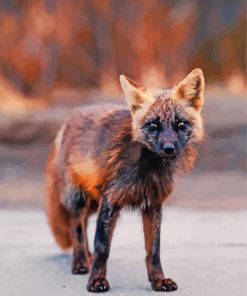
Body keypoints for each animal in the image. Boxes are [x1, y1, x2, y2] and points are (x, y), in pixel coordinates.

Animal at [45, 68, 206, 292]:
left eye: (180, 124)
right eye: (154, 125)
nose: (168, 149)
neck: (147, 168)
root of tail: (71, 116)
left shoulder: (153, 205)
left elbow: (153, 250)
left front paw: (158, 280)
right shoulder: (110, 200)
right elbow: (102, 246)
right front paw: (96, 281)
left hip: (92, 201)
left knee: (83, 227)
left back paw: (86, 257)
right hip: (80, 198)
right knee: (76, 228)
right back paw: (80, 263)